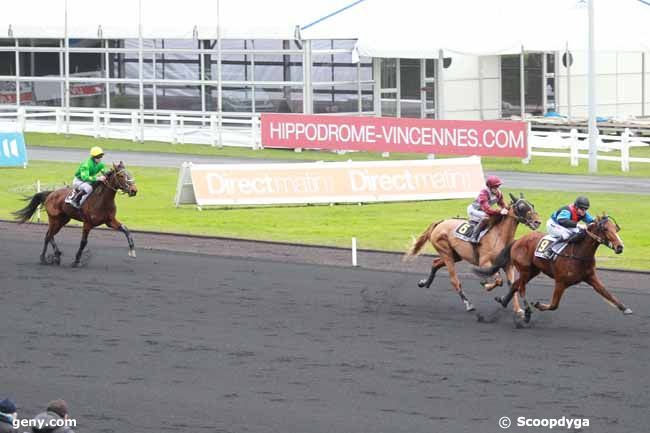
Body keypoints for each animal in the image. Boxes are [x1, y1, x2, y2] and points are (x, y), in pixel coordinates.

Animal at [402, 194, 540, 312]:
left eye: (532, 205)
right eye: (521, 207)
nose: (537, 221)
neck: (500, 236)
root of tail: (440, 223)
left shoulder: (508, 265)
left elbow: (512, 285)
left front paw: (518, 310)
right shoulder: (485, 262)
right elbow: (498, 281)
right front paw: (486, 285)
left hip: (455, 255)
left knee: (435, 263)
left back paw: (424, 283)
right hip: (446, 253)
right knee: (454, 280)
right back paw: (468, 304)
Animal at [474, 214, 632, 322]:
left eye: (616, 228)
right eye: (605, 229)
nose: (620, 247)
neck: (579, 252)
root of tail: (518, 240)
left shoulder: (590, 277)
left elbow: (606, 293)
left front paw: (625, 308)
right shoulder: (561, 281)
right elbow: (554, 304)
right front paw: (538, 304)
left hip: (533, 271)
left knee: (515, 285)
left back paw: (504, 302)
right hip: (525, 270)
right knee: (521, 287)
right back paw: (527, 311)